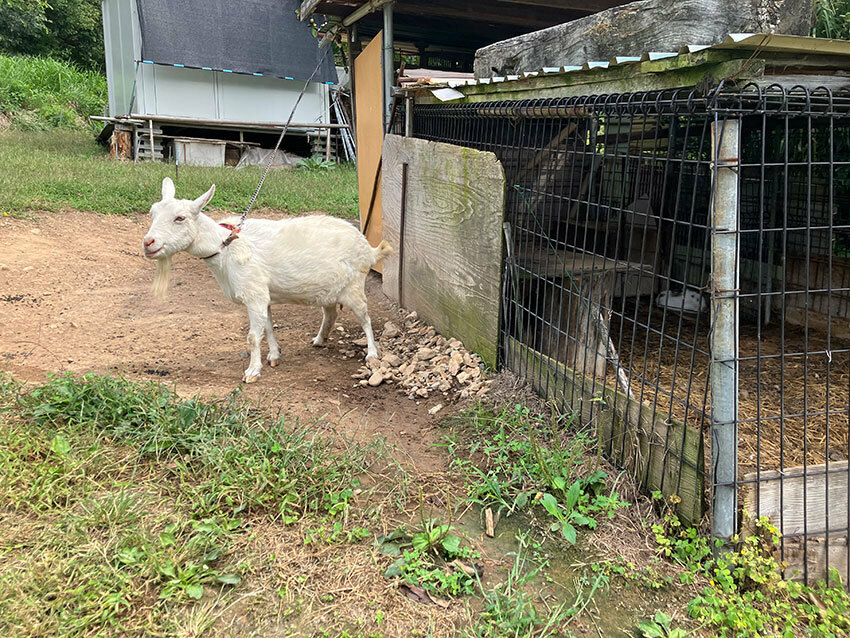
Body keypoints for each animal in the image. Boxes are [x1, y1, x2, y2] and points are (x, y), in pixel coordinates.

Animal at [142, 178, 390, 382]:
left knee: (365, 318)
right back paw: (320, 340)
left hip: (354, 286)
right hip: (329, 289)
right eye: (152, 213)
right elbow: (268, 328)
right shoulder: (264, 297)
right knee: (330, 313)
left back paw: (371, 353)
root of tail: (368, 248)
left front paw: (252, 372)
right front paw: (273, 356)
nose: (148, 243)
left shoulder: (254, 294)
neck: (226, 246)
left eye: (180, 218)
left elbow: (253, 337)